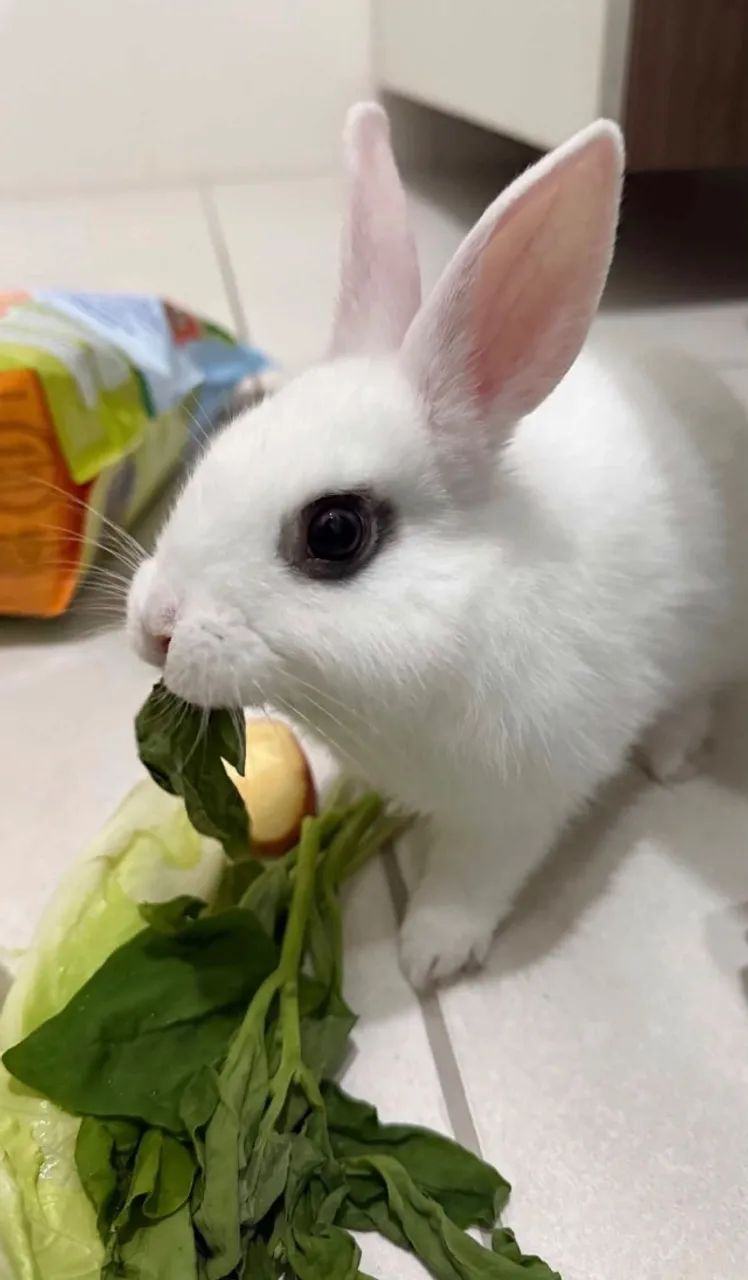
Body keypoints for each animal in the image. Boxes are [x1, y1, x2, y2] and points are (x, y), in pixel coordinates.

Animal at [128, 103, 748, 989]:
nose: (154, 627)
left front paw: (429, 955)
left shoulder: (517, 805)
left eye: (335, 532)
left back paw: (669, 753)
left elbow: (470, 879)